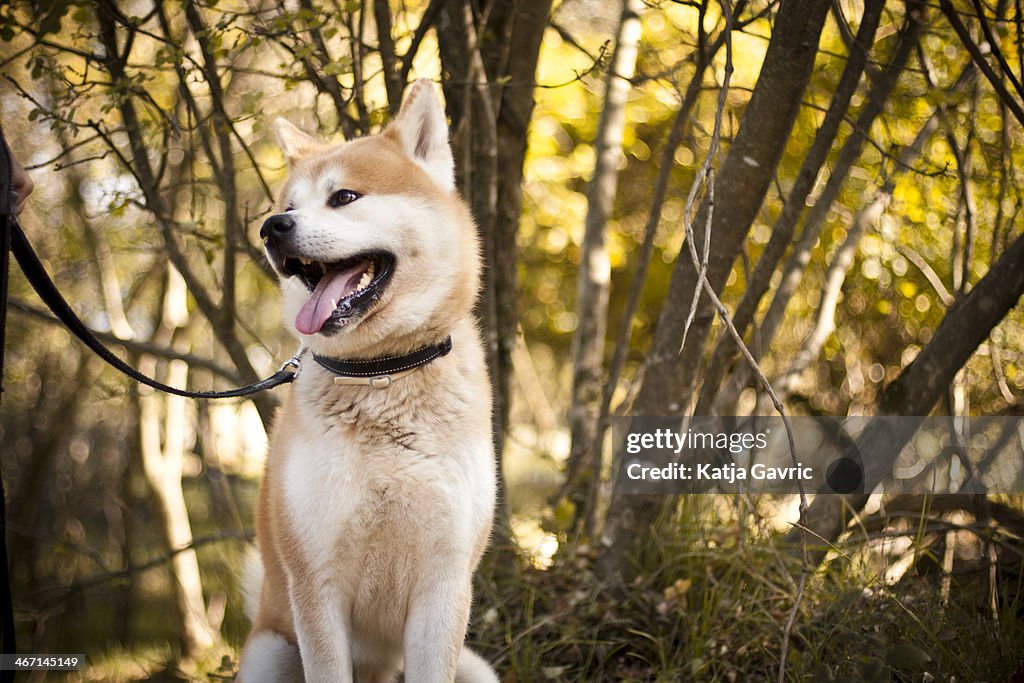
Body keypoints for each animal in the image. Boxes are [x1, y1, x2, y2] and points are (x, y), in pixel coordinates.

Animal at [236, 81, 499, 683]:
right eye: (287, 207)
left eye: (345, 197)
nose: (271, 228)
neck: (382, 372)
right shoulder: (315, 582)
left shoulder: (445, 585)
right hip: (270, 649)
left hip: (475, 667)